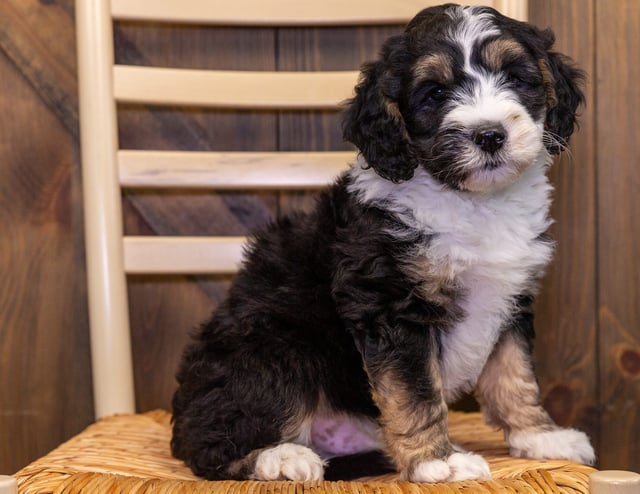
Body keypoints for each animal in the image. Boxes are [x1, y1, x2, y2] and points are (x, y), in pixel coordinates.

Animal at [170, 3, 596, 482]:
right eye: (434, 93)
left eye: (516, 77)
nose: (489, 135)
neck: (471, 201)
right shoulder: (391, 304)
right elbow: (415, 390)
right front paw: (438, 460)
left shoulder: (511, 299)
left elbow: (515, 374)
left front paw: (540, 437)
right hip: (273, 346)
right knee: (213, 446)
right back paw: (283, 457)